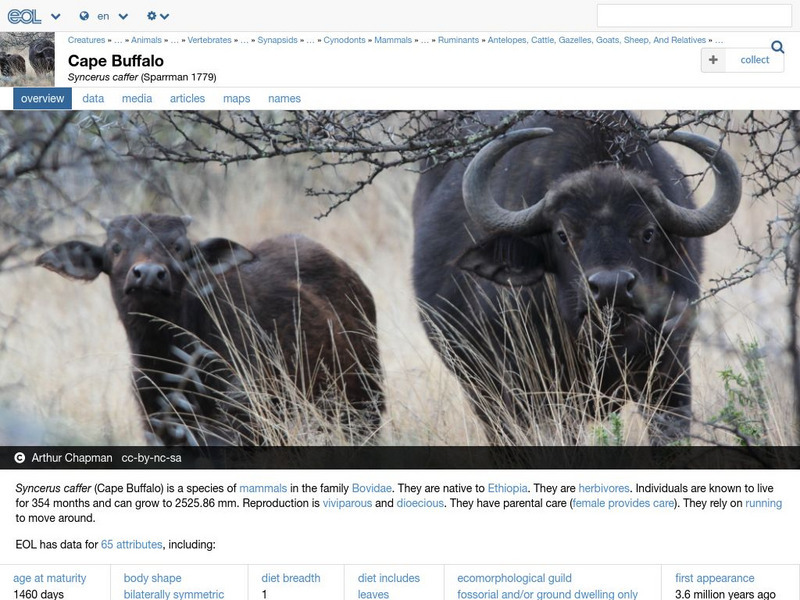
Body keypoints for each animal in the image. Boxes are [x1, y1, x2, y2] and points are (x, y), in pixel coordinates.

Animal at [37, 214, 383, 445]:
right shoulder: (157, 426)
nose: (148, 274)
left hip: (366, 404)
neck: (168, 356)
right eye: (115, 247)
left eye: (178, 247)